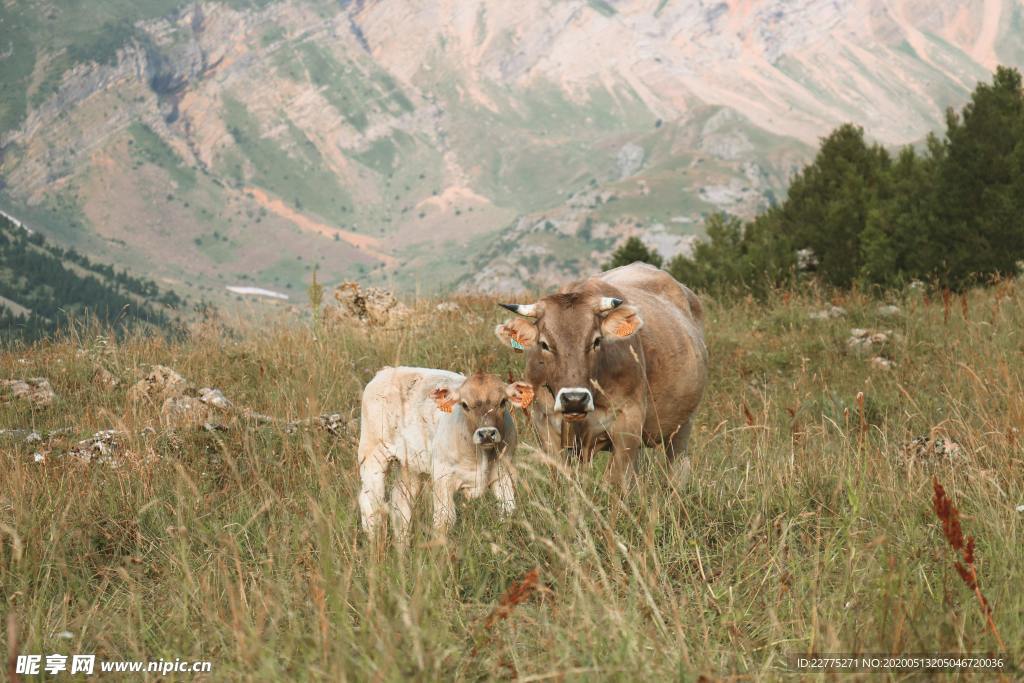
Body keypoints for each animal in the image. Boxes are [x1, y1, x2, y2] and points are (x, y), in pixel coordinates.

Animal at [493, 262, 704, 485]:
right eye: (544, 344)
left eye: (596, 341)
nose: (574, 399)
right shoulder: (544, 422)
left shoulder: (628, 421)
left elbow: (617, 480)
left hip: (683, 425)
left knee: (676, 467)